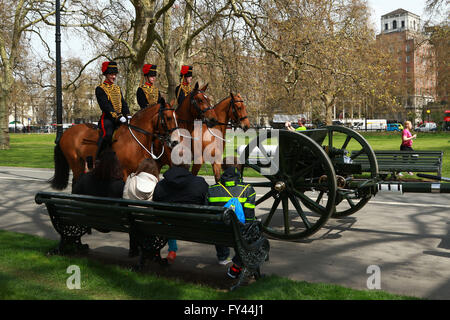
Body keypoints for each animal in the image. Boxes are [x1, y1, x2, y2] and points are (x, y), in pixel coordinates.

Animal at [51, 100, 179, 190]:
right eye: (168, 118)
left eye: (176, 117)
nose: (175, 142)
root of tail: (65, 132)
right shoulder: (124, 172)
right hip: (76, 163)